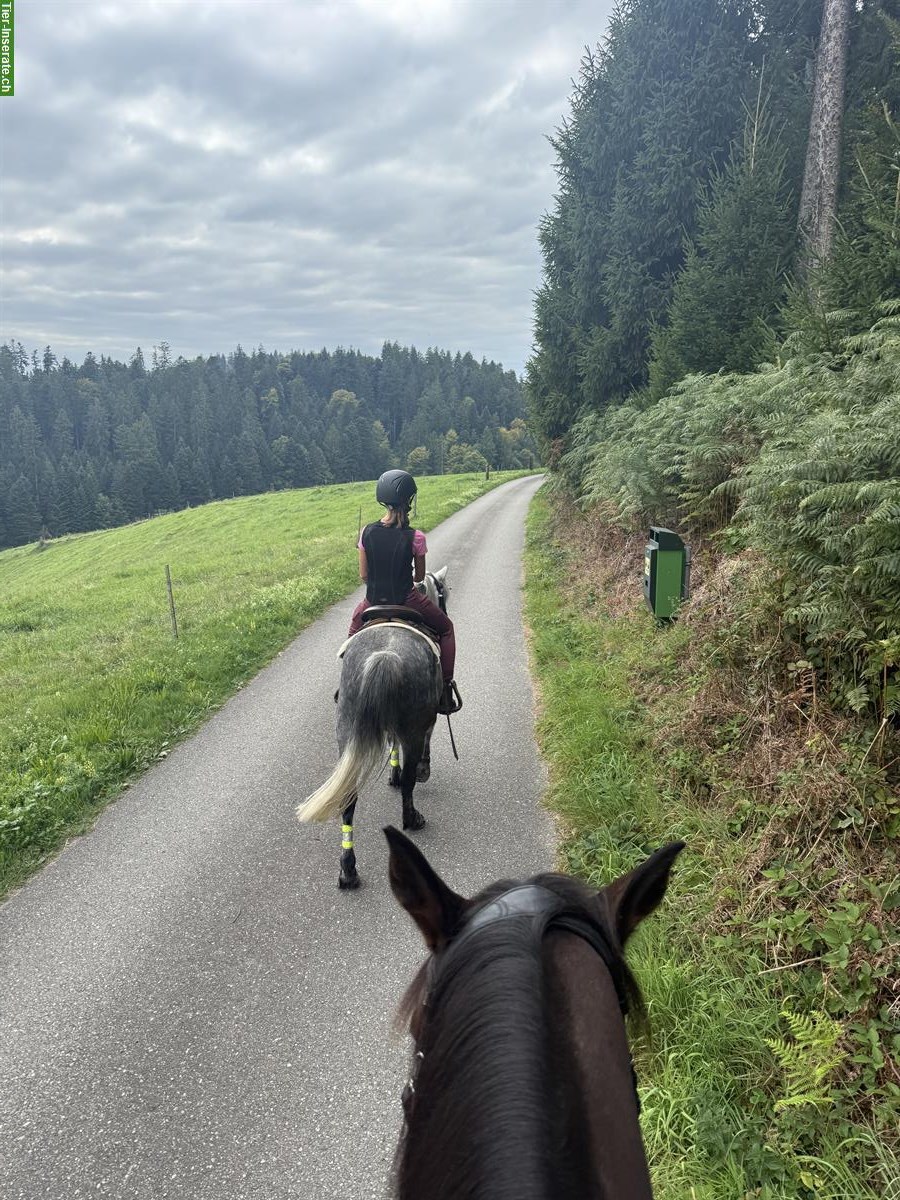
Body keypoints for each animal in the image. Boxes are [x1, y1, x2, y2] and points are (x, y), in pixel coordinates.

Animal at [296, 568, 452, 890]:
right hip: (413, 727)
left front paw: (392, 773)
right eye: (443, 591)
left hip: (346, 731)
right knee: (409, 782)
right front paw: (421, 771)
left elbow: (391, 744)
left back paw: (348, 870)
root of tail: (385, 655)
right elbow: (420, 749)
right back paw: (413, 819)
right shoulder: (426, 721)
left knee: (348, 800)